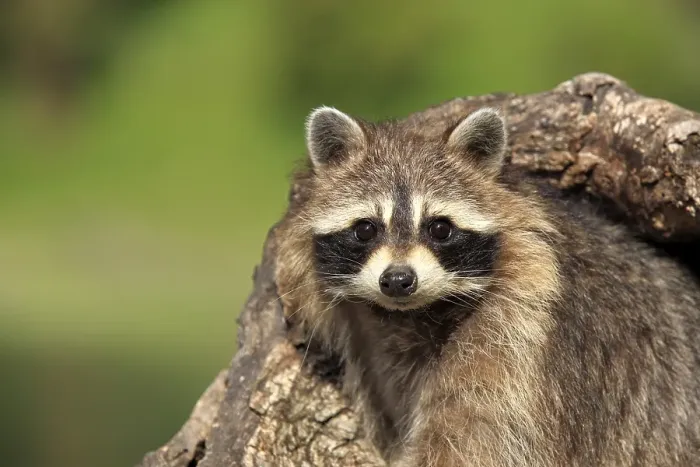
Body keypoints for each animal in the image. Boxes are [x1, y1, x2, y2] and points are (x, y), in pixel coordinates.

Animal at [274, 106, 700, 466]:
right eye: (365, 229)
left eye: (440, 228)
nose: (398, 280)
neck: (411, 317)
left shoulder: (519, 333)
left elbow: (475, 440)